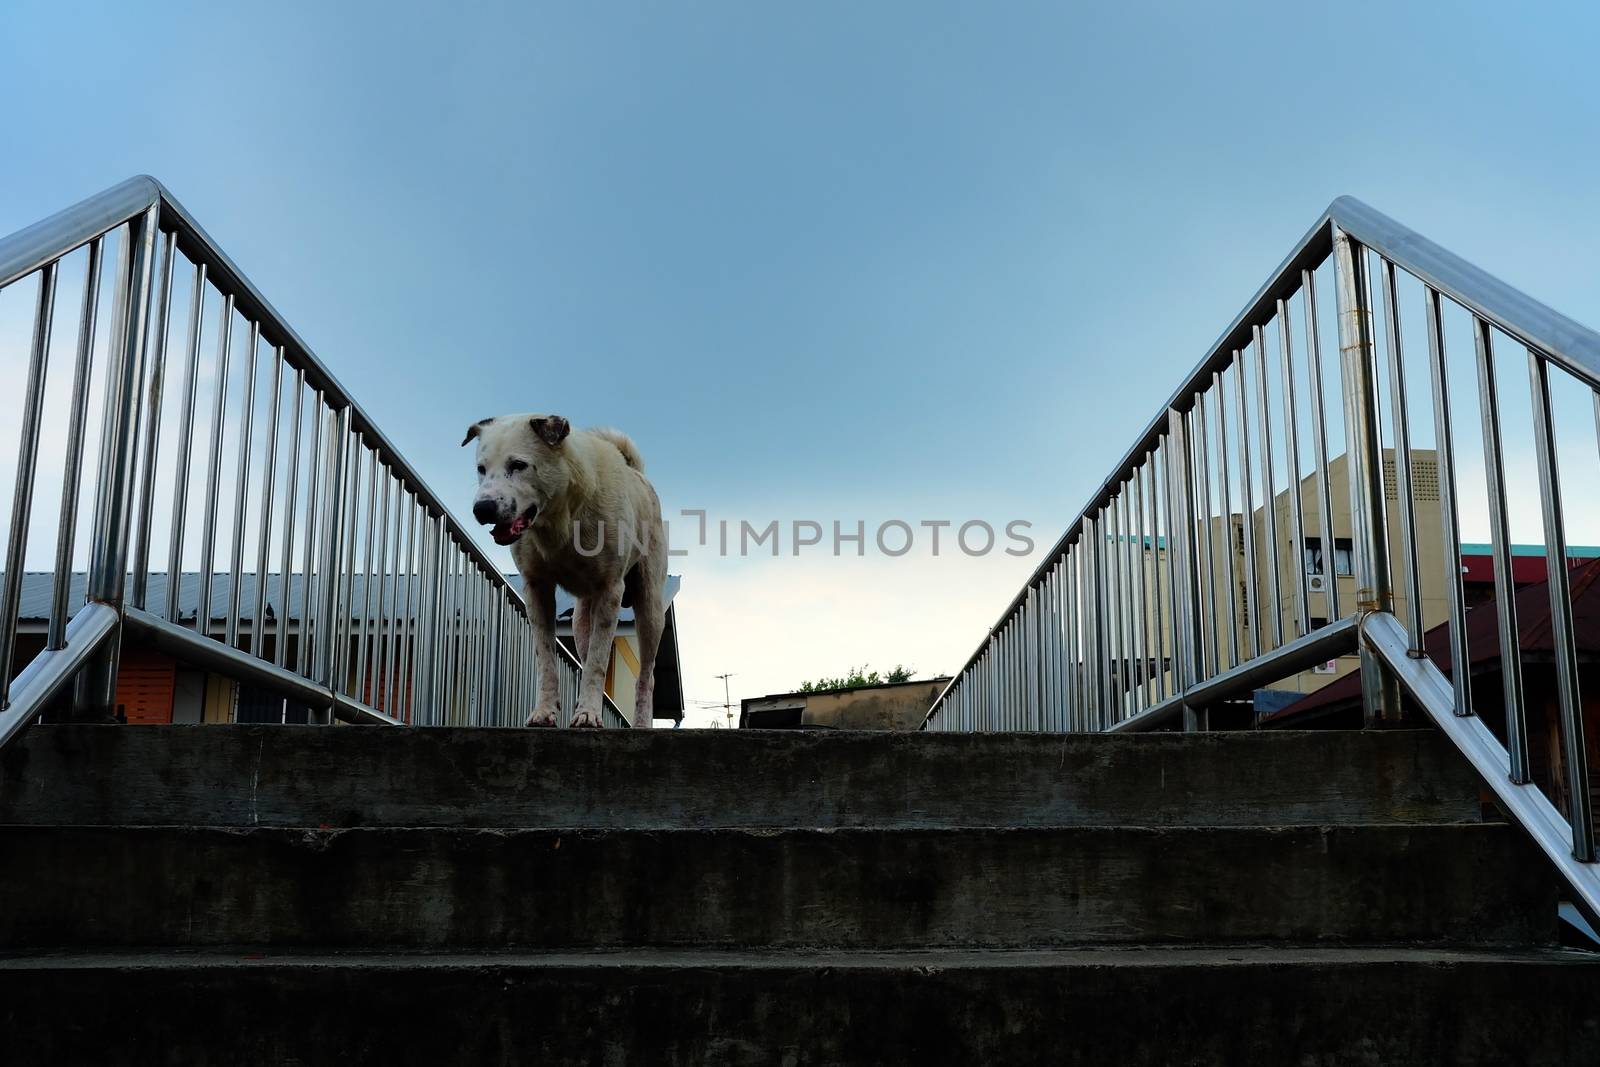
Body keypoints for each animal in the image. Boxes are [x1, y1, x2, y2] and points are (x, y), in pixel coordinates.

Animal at [467, 412, 665, 729]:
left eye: (518, 465)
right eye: (481, 469)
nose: (482, 509)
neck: (560, 517)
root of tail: (636, 473)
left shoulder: (611, 589)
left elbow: (598, 663)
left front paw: (588, 714)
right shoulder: (536, 588)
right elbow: (546, 658)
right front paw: (544, 711)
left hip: (650, 608)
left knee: (646, 675)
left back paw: (642, 723)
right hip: (580, 619)